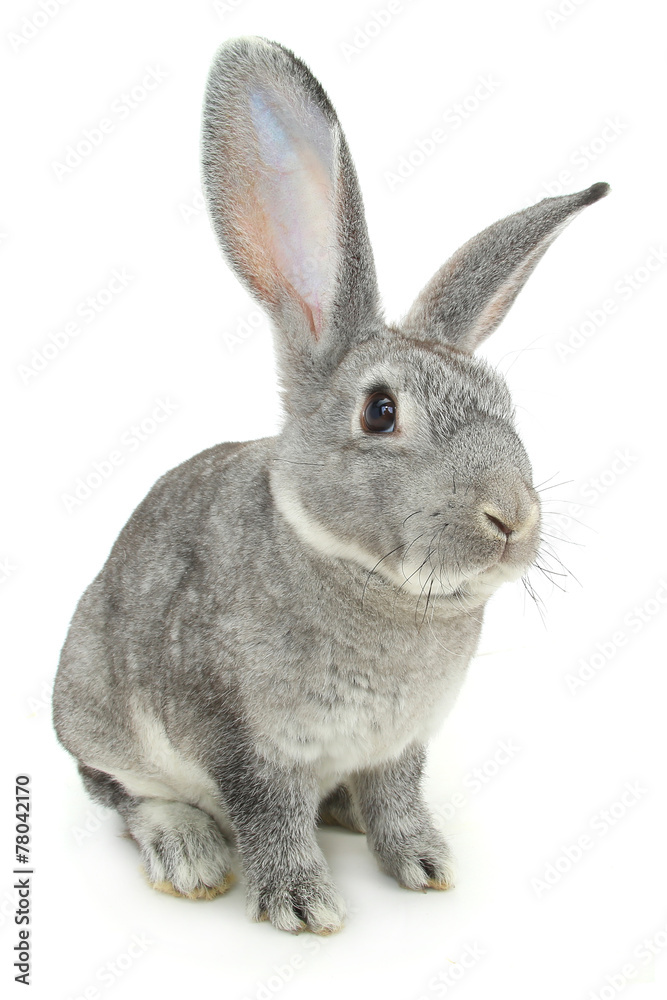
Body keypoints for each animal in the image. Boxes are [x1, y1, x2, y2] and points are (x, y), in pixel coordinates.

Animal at [52, 36, 609, 935]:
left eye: (504, 405)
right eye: (380, 412)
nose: (511, 517)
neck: (370, 584)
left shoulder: (401, 745)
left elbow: (396, 800)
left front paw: (425, 864)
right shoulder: (244, 741)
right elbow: (269, 816)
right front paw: (304, 906)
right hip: (95, 711)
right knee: (124, 794)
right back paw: (188, 850)